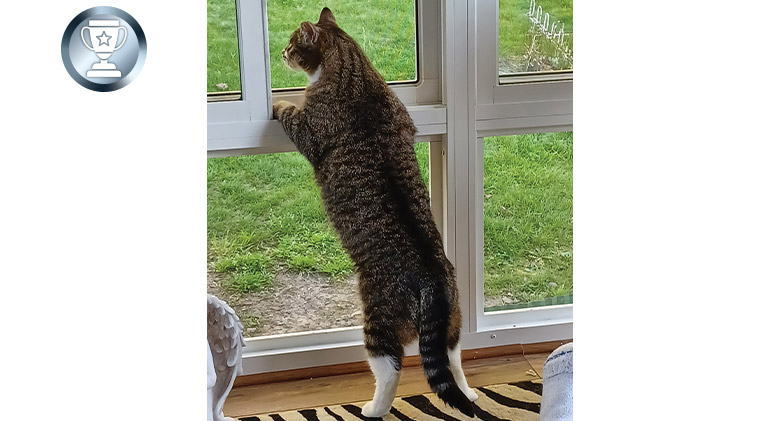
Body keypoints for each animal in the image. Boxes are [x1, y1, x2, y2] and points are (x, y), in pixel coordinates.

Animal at [274, 7, 482, 416]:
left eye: (292, 44)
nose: (282, 53)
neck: (355, 74)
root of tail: (433, 282)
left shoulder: (310, 131)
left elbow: (293, 114)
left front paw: (279, 104)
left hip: (377, 321)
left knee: (390, 369)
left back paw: (373, 408)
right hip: (453, 323)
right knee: (452, 360)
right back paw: (468, 393)